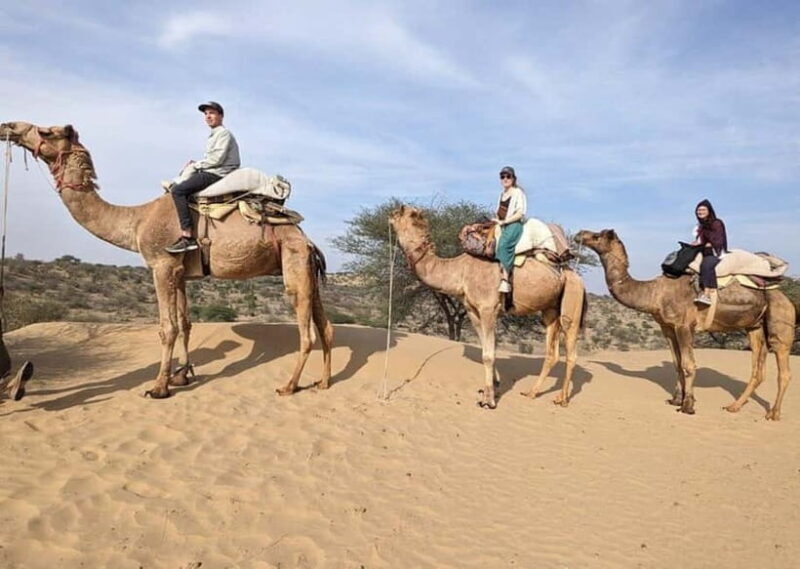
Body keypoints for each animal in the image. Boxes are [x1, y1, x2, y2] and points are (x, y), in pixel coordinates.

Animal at [0, 121, 332, 399]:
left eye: (46, 131)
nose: (8, 126)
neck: (137, 219)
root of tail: (306, 238)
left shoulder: (162, 266)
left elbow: (167, 327)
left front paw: (159, 386)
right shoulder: (181, 273)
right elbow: (185, 323)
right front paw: (182, 376)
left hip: (293, 265)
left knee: (306, 333)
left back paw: (289, 386)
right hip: (306, 268)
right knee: (325, 326)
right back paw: (323, 382)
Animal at [389, 205, 587, 409]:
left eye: (410, 214)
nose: (392, 212)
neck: (460, 271)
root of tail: (576, 277)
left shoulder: (488, 308)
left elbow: (488, 355)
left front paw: (489, 401)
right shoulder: (472, 310)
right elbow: (487, 348)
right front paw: (492, 388)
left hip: (572, 298)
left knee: (571, 349)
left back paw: (562, 399)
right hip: (550, 310)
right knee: (551, 352)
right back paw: (532, 393)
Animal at [575, 229, 795, 419]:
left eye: (597, 236)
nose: (579, 234)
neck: (654, 292)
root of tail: (786, 298)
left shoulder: (684, 325)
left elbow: (688, 365)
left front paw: (688, 406)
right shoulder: (667, 327)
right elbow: (677, 364)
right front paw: (676, 400)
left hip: (781, 323)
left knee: (783, 369)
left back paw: (773, 414)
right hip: (755, 326)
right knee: (758, 369)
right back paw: (734, 406)